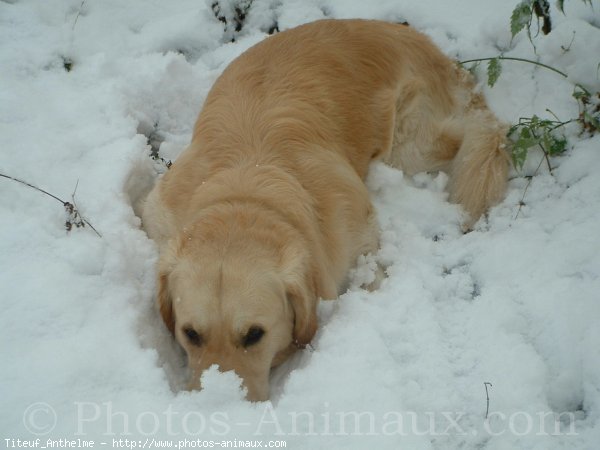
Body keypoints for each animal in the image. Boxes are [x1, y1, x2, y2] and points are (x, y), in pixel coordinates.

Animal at [143, 18, 508, 400]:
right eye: (190, 333)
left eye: (255, 334)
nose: (219, 403)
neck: (246, 194)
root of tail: (420, 41)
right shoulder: (159, 210)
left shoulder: (360, 235)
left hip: (410, 146)